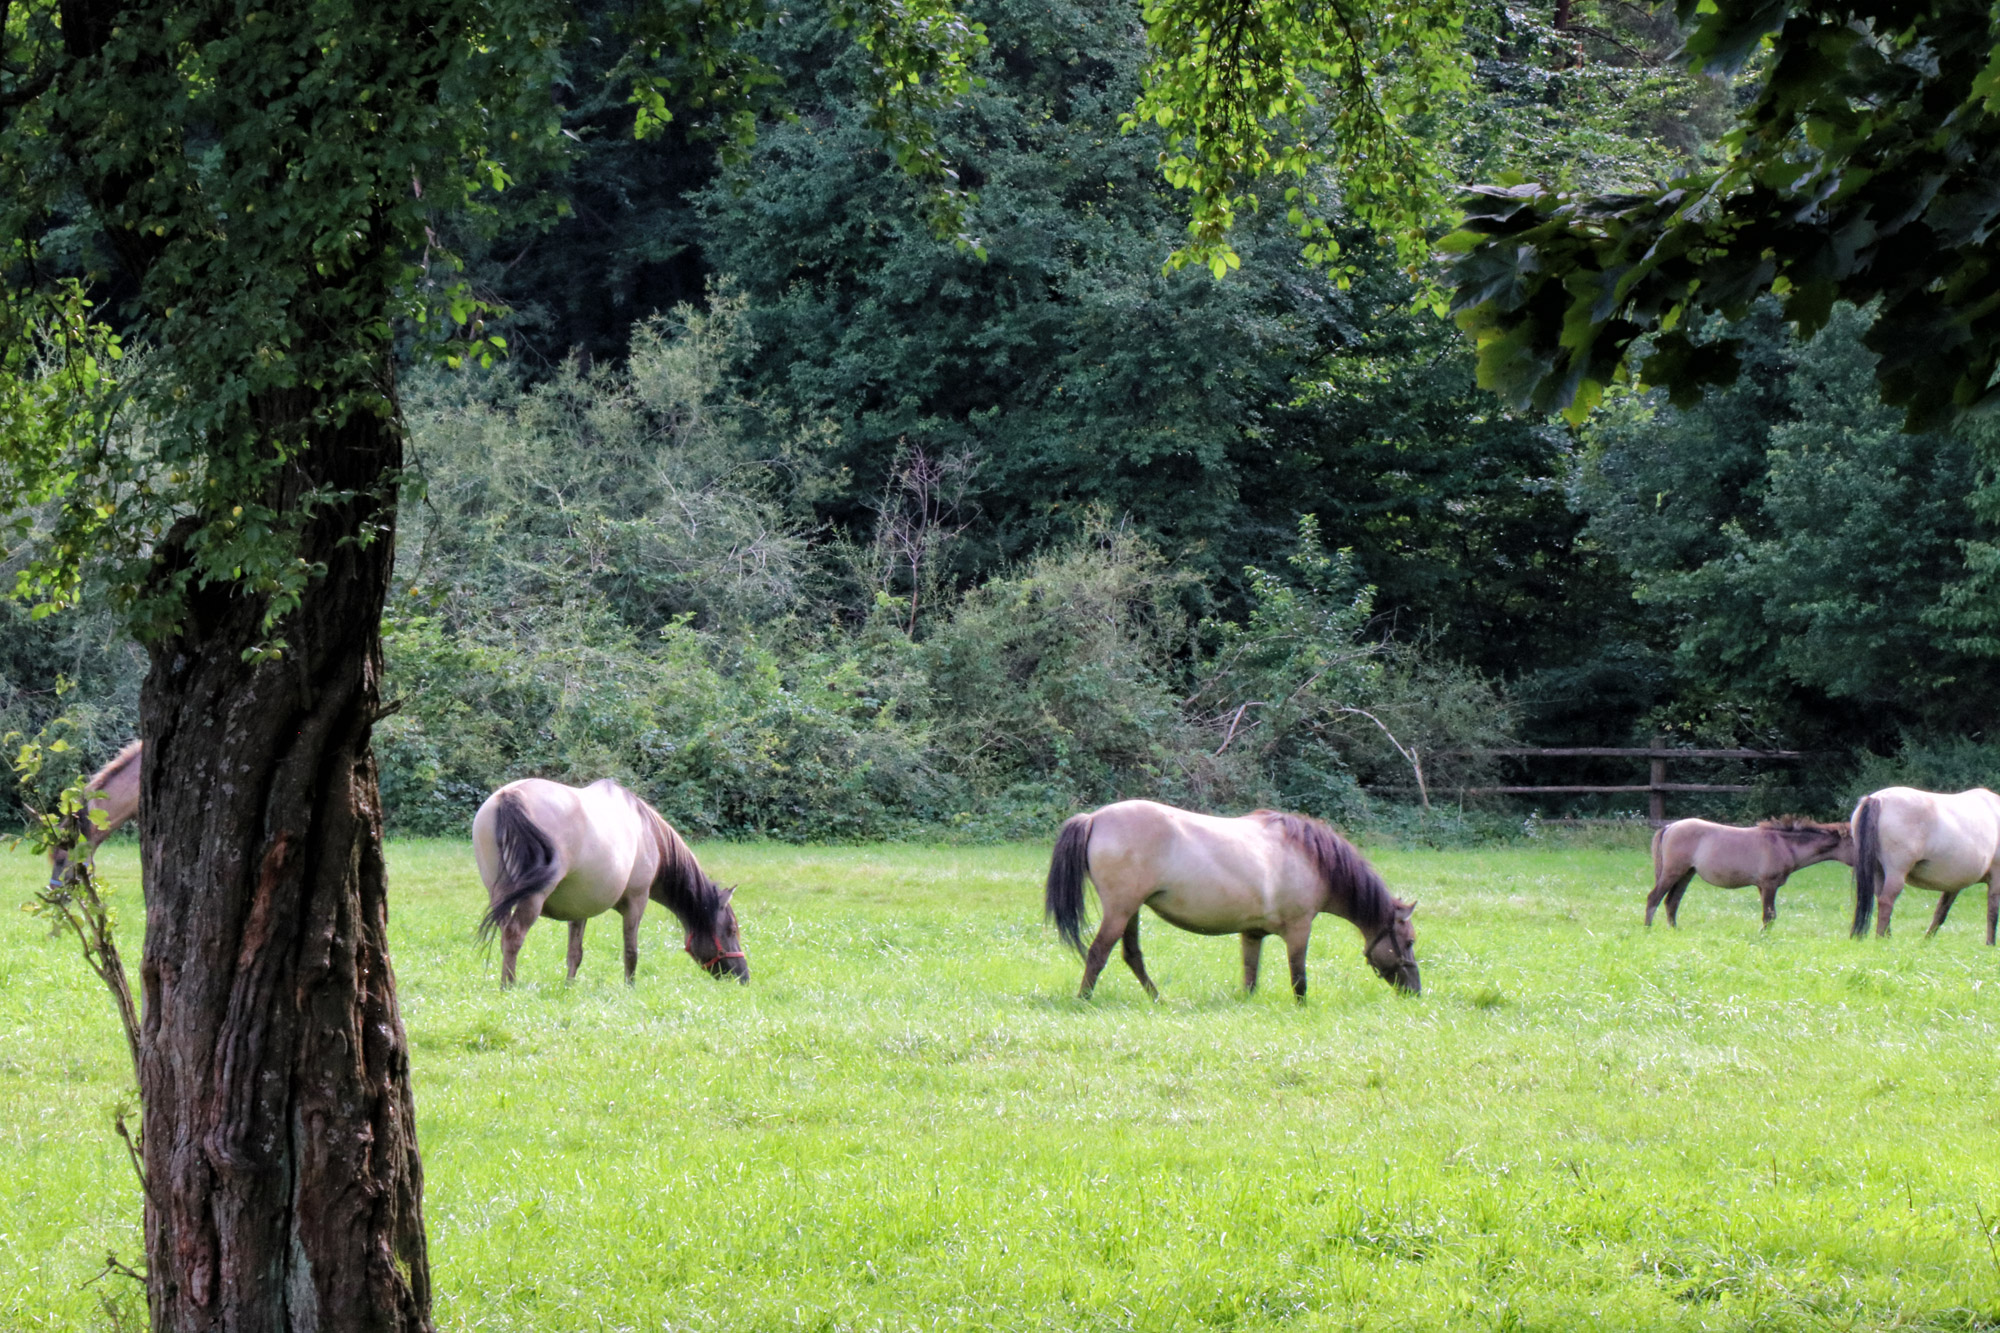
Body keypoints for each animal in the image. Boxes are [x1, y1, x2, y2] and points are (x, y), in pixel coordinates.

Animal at [470, 772, 752, 980]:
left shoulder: (578, 909)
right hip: (533, 898)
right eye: (730, 929)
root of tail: (510, 796)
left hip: (499, 895)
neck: (648, 832)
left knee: (504, 934)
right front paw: (630, 990)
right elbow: (631, 953)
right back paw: (508, 988)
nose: (744, 977)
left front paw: (568, 989)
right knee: (514, 936)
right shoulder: (637, 902)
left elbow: (575, 953)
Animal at [1048, 792, 1424, 1000]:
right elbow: (1299, 980)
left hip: (1131, 911)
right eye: (1408, 942)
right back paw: (1084, 999)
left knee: (1132, 956)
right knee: (1098, 954)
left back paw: (1158, 999)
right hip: (1120, 910)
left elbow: (1250, 977)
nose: (1416, 992)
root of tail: (1094, 818)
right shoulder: (1299, 929)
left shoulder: (1252, 933)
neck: (1309, 857)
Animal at [1840, 784, 2000, 940]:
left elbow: (1940, 913)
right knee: (1886, 901)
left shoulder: (1955, 884)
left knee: (1881, 899)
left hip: (1878, 872)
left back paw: (1887, 938)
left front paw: (1926, 942)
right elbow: (1993, 915)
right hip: (1896, 874)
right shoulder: (1995, 881)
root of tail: (1878, 799)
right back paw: (1881, 940)